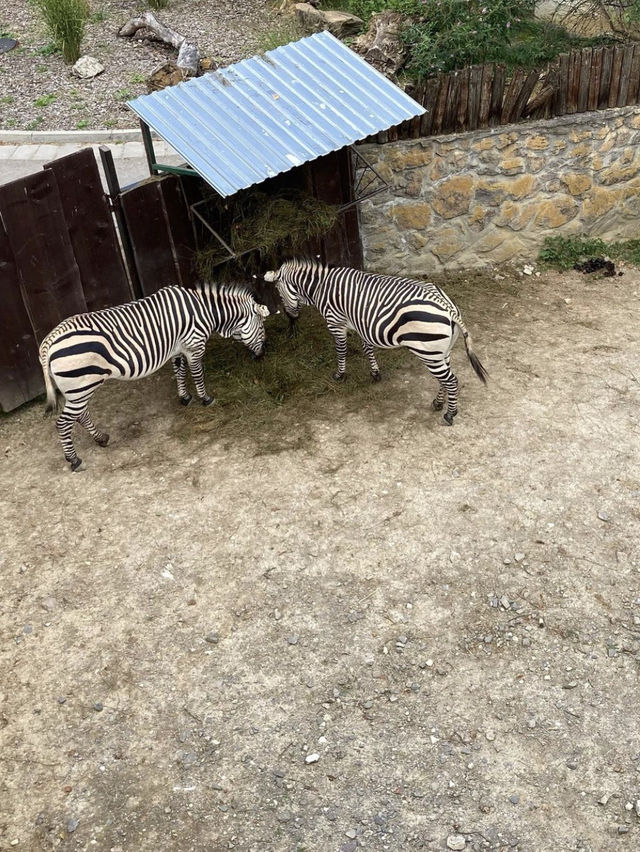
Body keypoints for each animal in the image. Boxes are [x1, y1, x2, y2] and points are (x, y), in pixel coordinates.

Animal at [39, 286, 270, 472]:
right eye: (261, 327)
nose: (263, 355)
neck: (205, 310)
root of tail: (49, 342)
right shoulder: (194, 346)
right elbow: (197, 373)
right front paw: (206, 399)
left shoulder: (179, 349)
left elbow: (179, 371)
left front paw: (185, 397)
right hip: (81, 386)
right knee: (63, 423)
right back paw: (74, 460)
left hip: (78, 388)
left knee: (80, 415)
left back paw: (101, 438)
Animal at [262, 256, 488, 422]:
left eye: (278, 293)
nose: (291, 318)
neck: (320, 287)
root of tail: (449, 308)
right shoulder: (362, 324)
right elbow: (367, 349)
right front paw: (375, 373)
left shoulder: (336, 323)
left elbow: (341, 351)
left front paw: (340, 374)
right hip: (441, 350)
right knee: (445, 379)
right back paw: (439, 403)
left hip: (428, 351)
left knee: (451, 380)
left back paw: (450, 414)